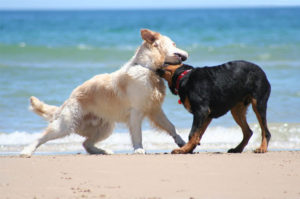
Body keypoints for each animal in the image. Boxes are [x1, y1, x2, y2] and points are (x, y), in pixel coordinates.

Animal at [20, 29, 188, 157]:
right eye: (174, 44)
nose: (187, 53)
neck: (148, 68)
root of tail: (68, 99)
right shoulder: (136, 113)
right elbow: (137, 134)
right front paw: (139, 149)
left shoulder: (155, 109)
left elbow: (171, 127)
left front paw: (181, 142)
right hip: (65, 125)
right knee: (42, 137)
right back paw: (26, 151)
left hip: (105, 128)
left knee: (86, 143)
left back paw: (103, 151)